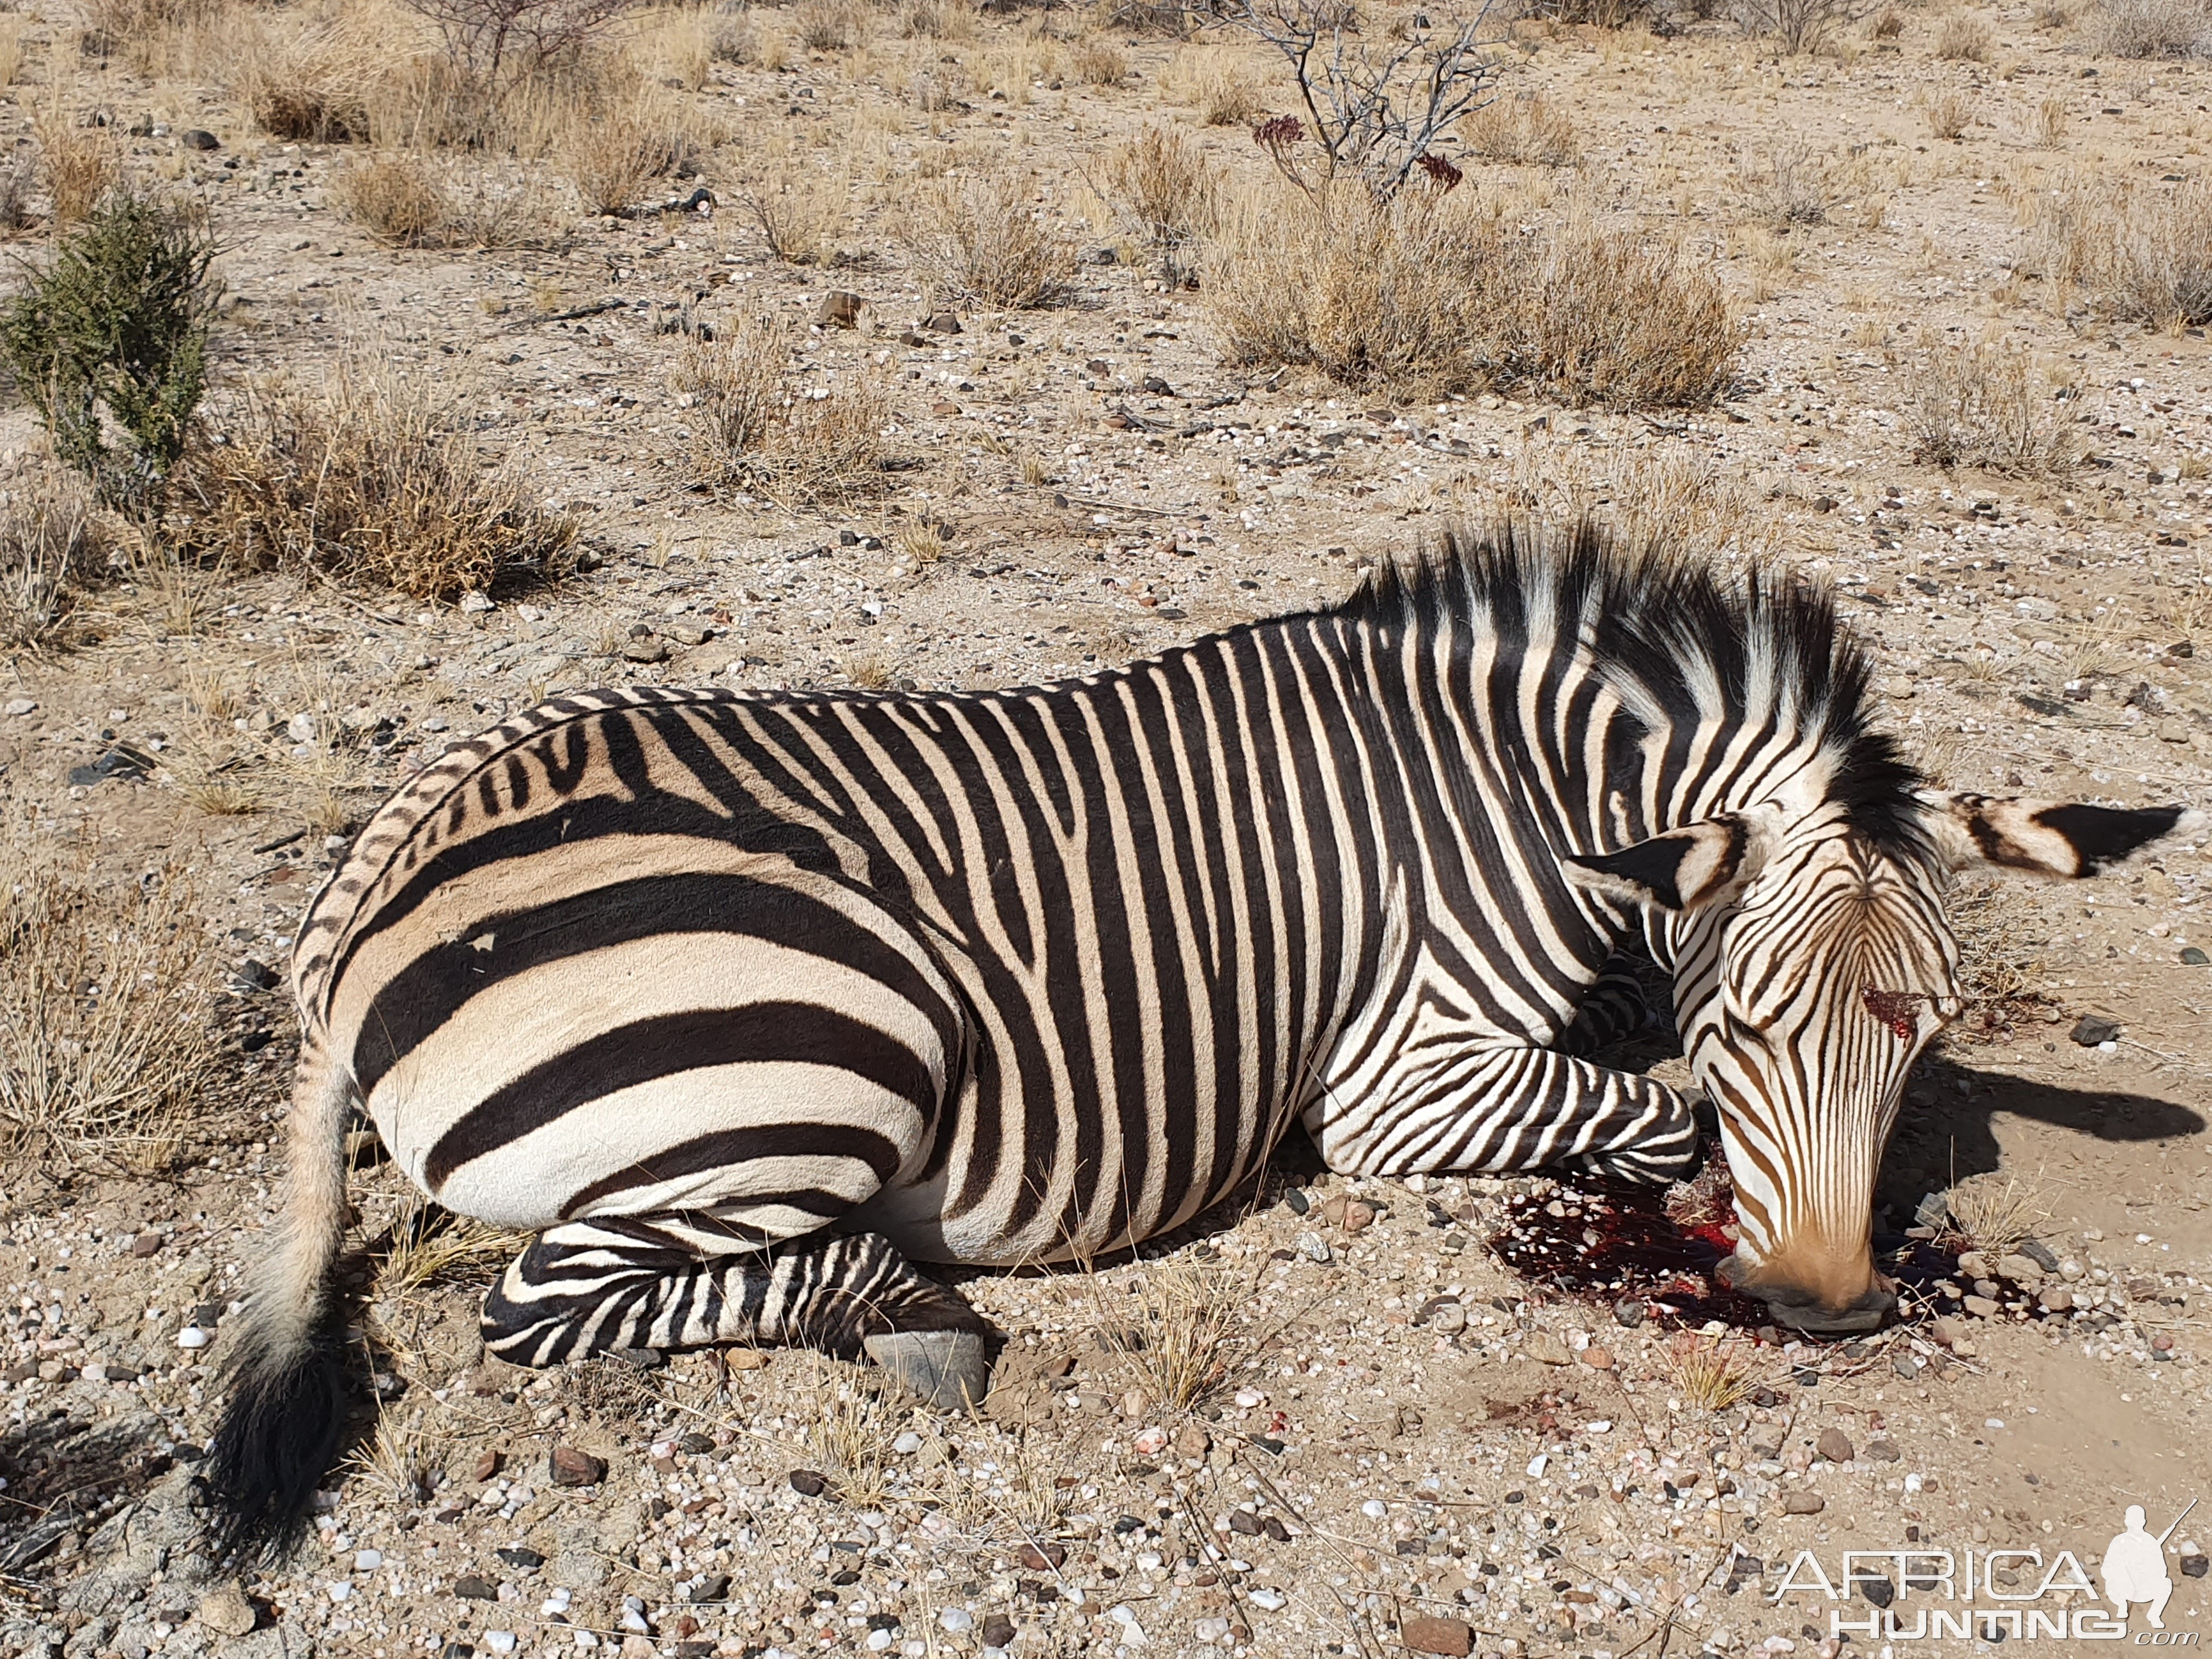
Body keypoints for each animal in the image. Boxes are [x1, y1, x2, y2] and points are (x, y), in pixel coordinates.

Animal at [203, 526, 2194, 1566]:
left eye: (1929, 1031)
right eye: (1757, 1022)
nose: (1826, 1309)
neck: (1524, 800)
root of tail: (364, 903)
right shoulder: (1395, 1082)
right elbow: (1653, 1109)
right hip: (834, 1036)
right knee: (545, 1303)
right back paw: (911, 1308)